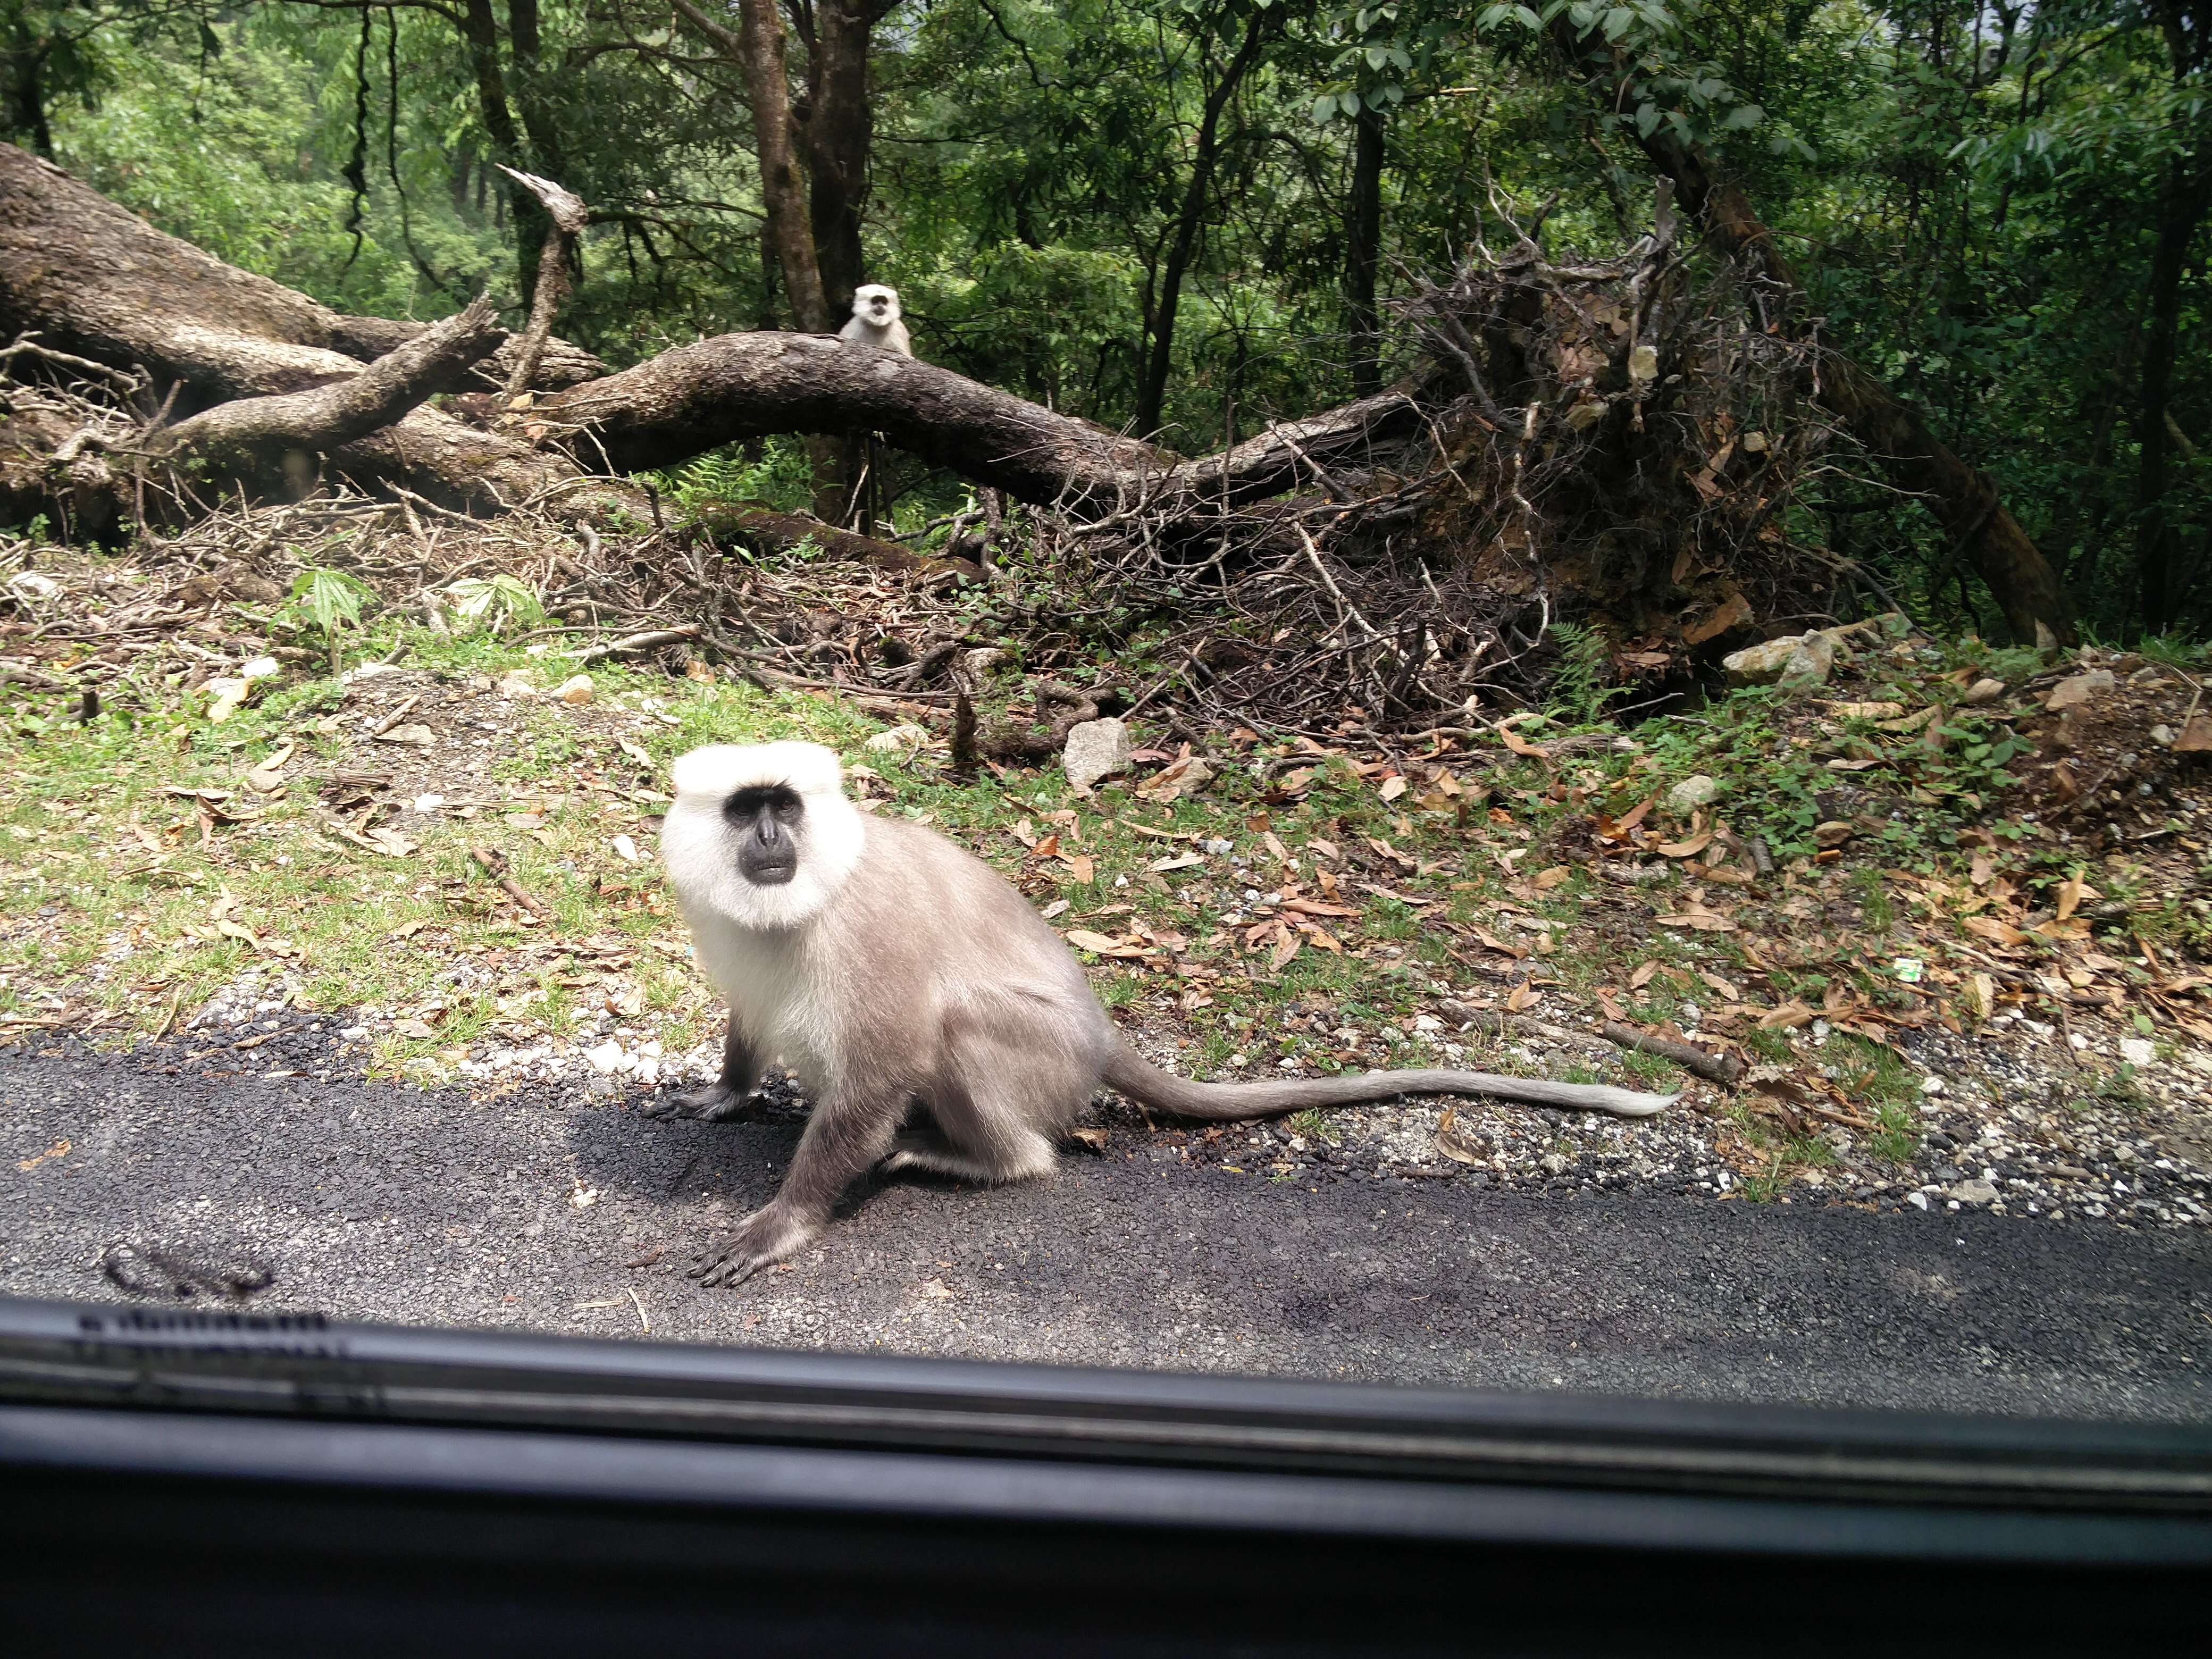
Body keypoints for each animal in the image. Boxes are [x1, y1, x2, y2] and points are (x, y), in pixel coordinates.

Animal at [655, 743, 1672, 1283]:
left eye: (783, 805)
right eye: (745, 809)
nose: (772, 836)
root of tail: (1101, 1036)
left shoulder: (863, 932)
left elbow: (886, 1064)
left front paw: (785, 1223)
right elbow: (745, 1019)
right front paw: (728, 1093)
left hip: (1042, 1056)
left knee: (962, 1035)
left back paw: (991, 1162)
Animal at [832, 283, 911, 358]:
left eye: (884, 301)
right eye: (875, 301)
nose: (880, 306)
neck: (877, 326)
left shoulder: (899, 330)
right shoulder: (854, 327)